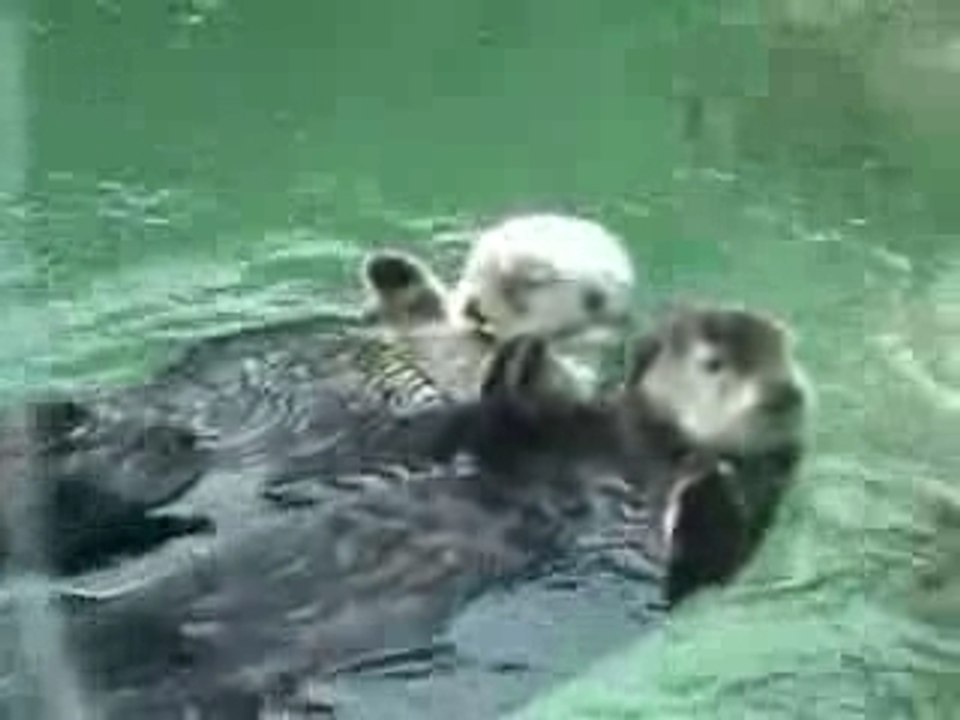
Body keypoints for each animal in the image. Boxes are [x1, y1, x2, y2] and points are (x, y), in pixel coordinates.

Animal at [41, 304, 810, 719]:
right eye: (711, 360)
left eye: (784, 359)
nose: (782, 394)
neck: (634, 450)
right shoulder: (537, 436)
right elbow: (503, 422)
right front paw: (522, 359)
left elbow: (702, 558)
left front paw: (708, 484)